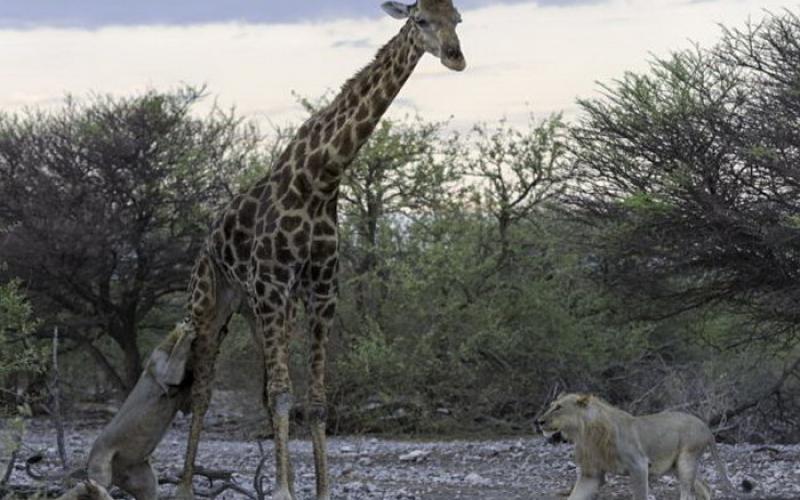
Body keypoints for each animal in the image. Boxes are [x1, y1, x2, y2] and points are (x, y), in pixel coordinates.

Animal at [173, 1, 462, 498]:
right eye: (421, 19)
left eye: (458, 19)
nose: (455, 56)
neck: (322, 178)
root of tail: (208, 238)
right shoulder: (273, 286)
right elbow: (283, 394)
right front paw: (284, 490)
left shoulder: (321, 291)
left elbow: (315, 399)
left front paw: (316, 487)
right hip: (211, 303)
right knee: (204, 390)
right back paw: (187, 485)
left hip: (259, 311)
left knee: (262, 387)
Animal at [536, 394, 736, 500]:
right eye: (551, 405)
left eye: (559, 407)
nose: (539, 421)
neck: (584, 433)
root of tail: (705, 425)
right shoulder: (591, 474)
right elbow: (575, 495)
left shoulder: (639, 465)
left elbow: (640, 494)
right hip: (677, 466)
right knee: (706, 488)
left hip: (687, 459)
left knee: (688, 495)